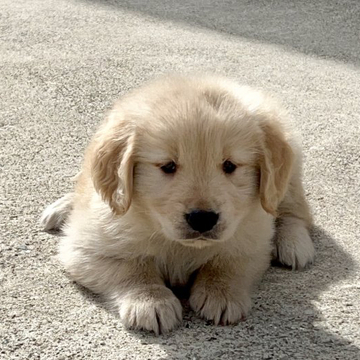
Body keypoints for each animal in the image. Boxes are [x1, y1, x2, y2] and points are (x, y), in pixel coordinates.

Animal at [40, 75, 314, 334]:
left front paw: (222, 293)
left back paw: (293, 243)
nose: (203, 218)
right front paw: (151, 301)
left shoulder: (252, 238)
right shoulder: (87, 247)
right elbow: (130, 267)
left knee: (295, 211)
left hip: (288, 175)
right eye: (168, 166)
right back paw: (61, 209)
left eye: (230, 165)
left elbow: (228, 262)